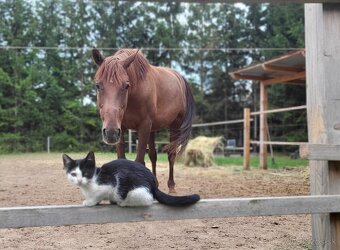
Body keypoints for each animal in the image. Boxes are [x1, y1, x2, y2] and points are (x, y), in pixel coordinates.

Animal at [62, 152, 201, 207]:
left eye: (85, 173)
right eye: (73, 174)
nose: (79, 181)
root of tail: (153, 183)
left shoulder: (109, 184)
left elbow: (98, 195)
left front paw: (90, 202)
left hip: (131, 185)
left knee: (147, 200)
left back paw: (122, 203)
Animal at [91, 47, 195, 192]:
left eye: (126, 85)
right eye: (98, 85)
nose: (110, 132)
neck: (134, 93)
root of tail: (179, 77)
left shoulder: (144, 126)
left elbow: (139, 160)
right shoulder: (121, 129)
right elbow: (123, 159)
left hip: (174, 126)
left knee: (171, 154)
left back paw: (171, 186)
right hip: (152, 130)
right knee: (153, 155)